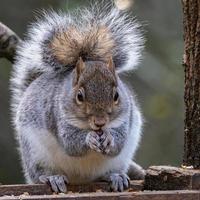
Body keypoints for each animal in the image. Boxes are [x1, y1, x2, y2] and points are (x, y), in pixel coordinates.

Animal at [10, 1, 145, 192]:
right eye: (79, 96)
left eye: (116, 95)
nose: (100, 122)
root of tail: (79, 179)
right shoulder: (57, 116)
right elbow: (71, 143)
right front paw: (89, 139)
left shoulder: (125, 118)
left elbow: (119, 141)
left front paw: (109, 137)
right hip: (35, 153)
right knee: (39, 174)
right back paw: (52, 178)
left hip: (120, 160)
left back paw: (115, 176)